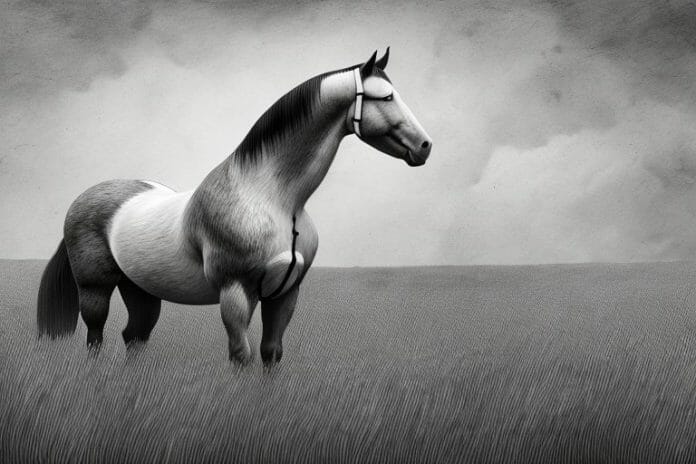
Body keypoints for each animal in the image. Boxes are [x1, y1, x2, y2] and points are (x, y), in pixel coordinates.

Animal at [36, 48, 432, 365]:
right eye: (386, 97)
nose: (425, 146)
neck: (271, 198)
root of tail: (86, 197)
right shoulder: (236, 292)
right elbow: (241, 356)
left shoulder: (284, 293)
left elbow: (271, 354)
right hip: (95, 289)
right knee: (95, 338)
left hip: (141, 289)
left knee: (133, 336)